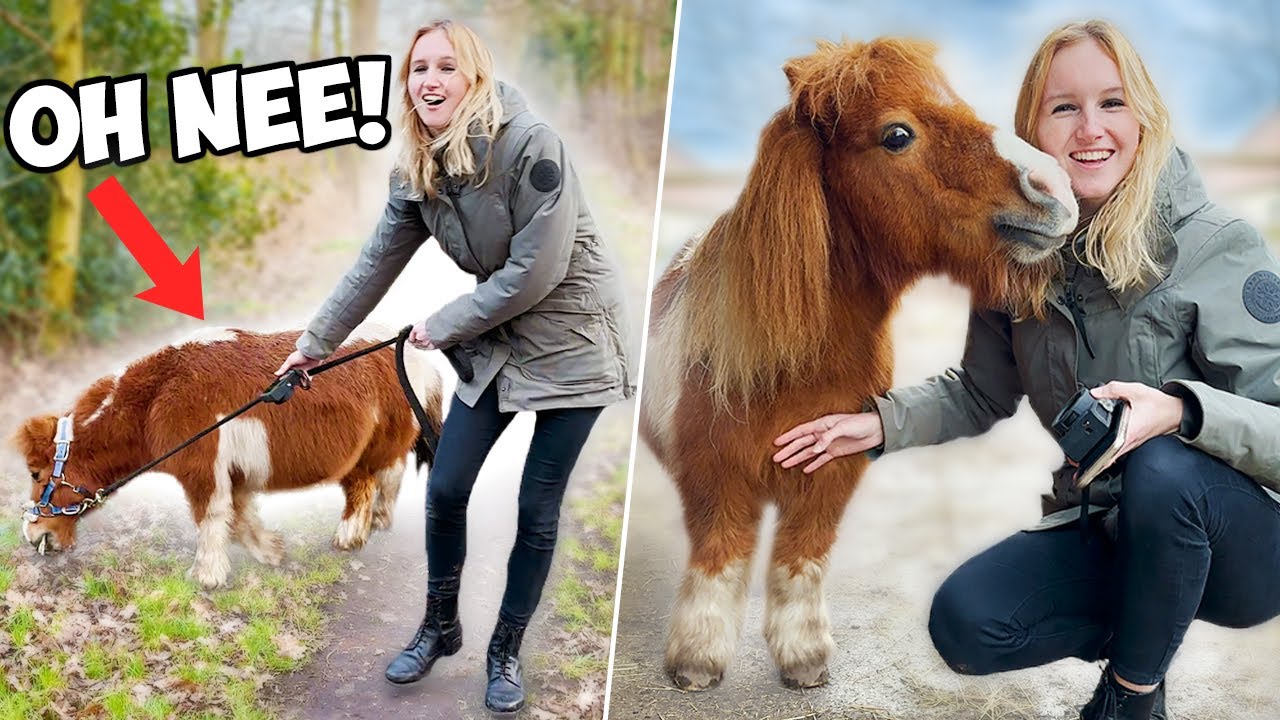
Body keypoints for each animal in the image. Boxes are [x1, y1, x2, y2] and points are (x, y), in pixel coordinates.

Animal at [12, 325, 443, 589]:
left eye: (35, 473)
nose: (33, 534)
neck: (159, 396)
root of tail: (417, 361)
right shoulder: (232, 474)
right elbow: (239, 517)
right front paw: (270, 552)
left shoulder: (204, 472)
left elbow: (211, 518)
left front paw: (207, 577)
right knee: (389, 476)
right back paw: (378, 521)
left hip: (365, 452)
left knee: (364, 486)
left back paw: (350, 536)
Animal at [639, 38, 1079, 690]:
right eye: (897, 134)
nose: (1055, 187)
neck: (788, 366)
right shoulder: (718, 481)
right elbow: (719, 562)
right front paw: (697, 663)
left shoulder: (830, 476)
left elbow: (800, 562)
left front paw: (803, 660)